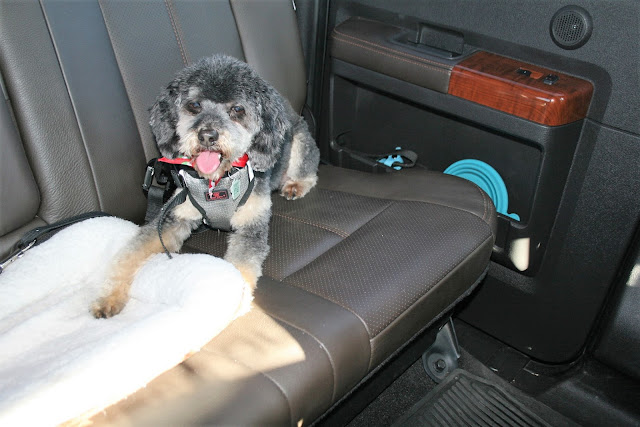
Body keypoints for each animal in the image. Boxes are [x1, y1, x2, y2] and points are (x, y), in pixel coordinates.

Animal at [92, 54, 319, 318]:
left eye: (237, 109)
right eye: (194, 105)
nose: (208, 135)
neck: (217, 181)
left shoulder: (251, 226)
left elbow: (241, 265)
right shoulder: (173, 217)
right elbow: (131, 253)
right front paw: (109, 296)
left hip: (301, 141)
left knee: (308, 166)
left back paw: (295, 184)